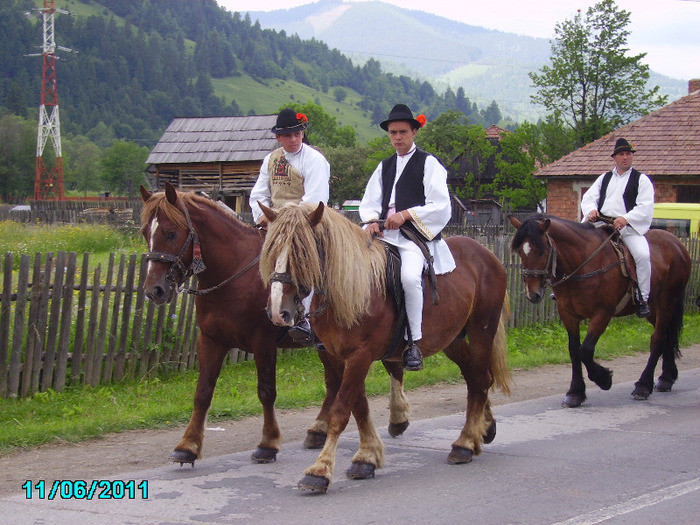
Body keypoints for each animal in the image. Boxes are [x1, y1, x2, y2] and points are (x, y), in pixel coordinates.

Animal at [137, 184, 410, 466]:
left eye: (171, 233)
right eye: (146, 232)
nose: (154, 290)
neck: (235, 273)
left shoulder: (262, 342)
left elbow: (266, 391)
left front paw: (267, 444)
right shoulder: (211, 340)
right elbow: (203, 392)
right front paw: (188, 445)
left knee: (390, 368)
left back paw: (397, 418)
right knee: (336, 381)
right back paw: (319, 430)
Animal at [258, 201, 508, 492]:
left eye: (302, 252)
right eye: (271, 250)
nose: (278, 312)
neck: (355, 289)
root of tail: (487, 255)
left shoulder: (360, 356)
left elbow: (341, 411)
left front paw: (320, 470)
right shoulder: (338, 357)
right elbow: (359, 407)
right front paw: (367, 457)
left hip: (482, 332)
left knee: (479, 379)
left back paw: (465, 443)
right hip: (452, 339)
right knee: (476, 378)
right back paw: (482, 430)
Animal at [508, 213, 688, 406]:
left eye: (542, 251)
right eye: (520, 253)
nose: (532, 294)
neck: (584, 262)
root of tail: (677, 244)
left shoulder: (602, 313)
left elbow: (585, 351)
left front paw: (604, 379)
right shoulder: (568, 315)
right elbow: (574, 350)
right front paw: (575, 393)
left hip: (666, 303)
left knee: (658, 339)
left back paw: (643, 386)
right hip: (654, 309)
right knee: (666, 336)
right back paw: (667, 378)